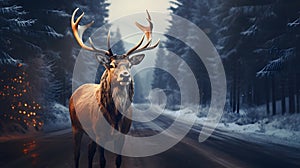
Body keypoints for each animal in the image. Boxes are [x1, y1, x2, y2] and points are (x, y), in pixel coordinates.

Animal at [69, 8, 159, 168]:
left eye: (129, 65)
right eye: (111, 65)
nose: (125, 75)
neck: (115, 117)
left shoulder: (122, 135)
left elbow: (118, 160)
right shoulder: (100, 134)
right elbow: (103, 161)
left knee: (89, 150)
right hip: (75, 126)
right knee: (77, 154)